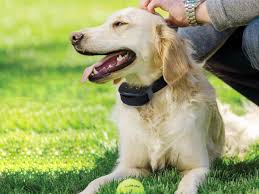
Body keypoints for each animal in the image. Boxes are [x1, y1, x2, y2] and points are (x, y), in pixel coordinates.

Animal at [71, 7, 259, 194]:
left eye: (119, 23)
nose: (74, 37)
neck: (152, 99)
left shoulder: (197, 167)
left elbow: (186, 185)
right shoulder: (131, 167)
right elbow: (96, 181)